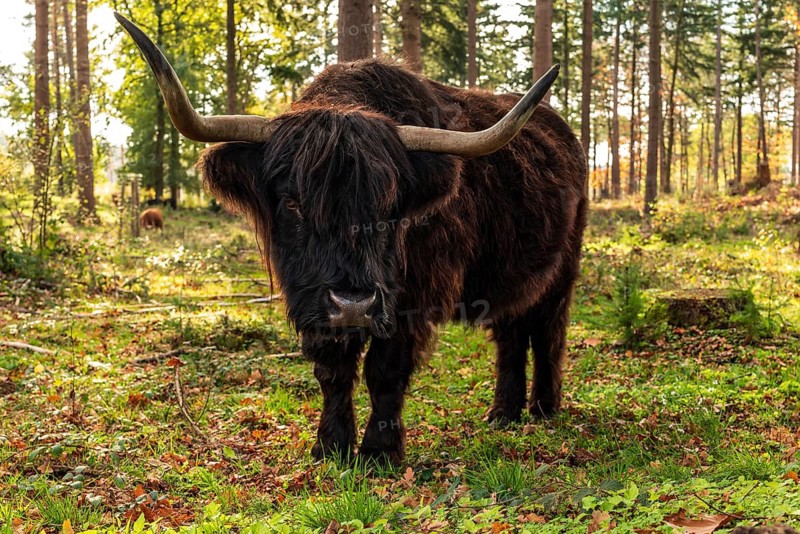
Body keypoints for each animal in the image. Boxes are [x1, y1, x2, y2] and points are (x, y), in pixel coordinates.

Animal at [116, 13, 588, 465]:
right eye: (292, 203)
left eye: (390, 206)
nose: (352, 305)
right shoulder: (311, 299)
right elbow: (333, 371)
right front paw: (331, 446)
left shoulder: (409, 301)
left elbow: (386, 371)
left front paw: (380, 452)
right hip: (511, 280)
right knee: (512, 336)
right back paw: (503, 413)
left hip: (561, 275)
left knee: (548, 333)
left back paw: (543, 408)